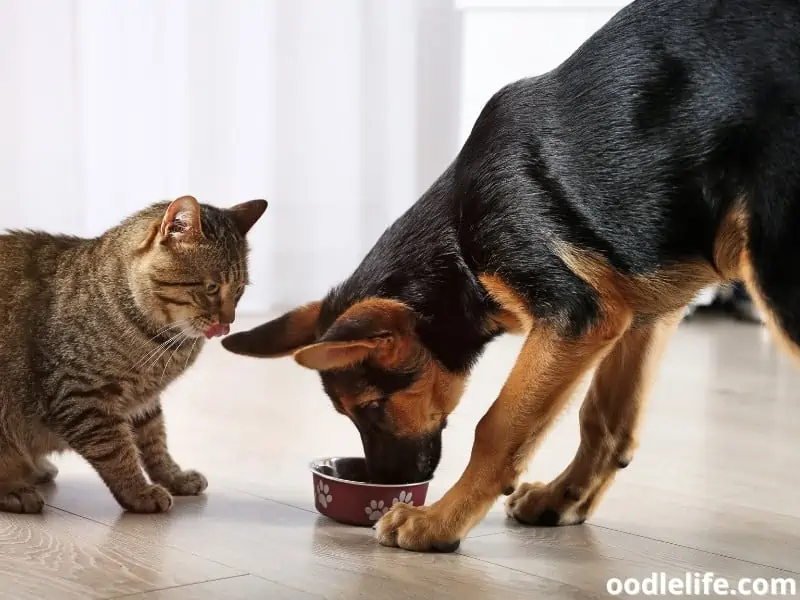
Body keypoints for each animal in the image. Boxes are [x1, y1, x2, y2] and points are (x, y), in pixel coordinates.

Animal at [0, 195, 268, 512]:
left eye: (239, 290)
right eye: (212, 287)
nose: (228, 323)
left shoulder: (143, 402)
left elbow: (155, 443)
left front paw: (174, 478)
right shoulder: (81, 397)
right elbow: (116, 451)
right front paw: (138, 492)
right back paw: (16, 490)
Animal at [222, 0, 800, 552]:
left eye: (371, 407)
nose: (383, 486)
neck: (459, 240)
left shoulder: (576, 315)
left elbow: (497, 427)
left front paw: (438, 521)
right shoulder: (643, 310)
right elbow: (605, 422)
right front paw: (563, 499)